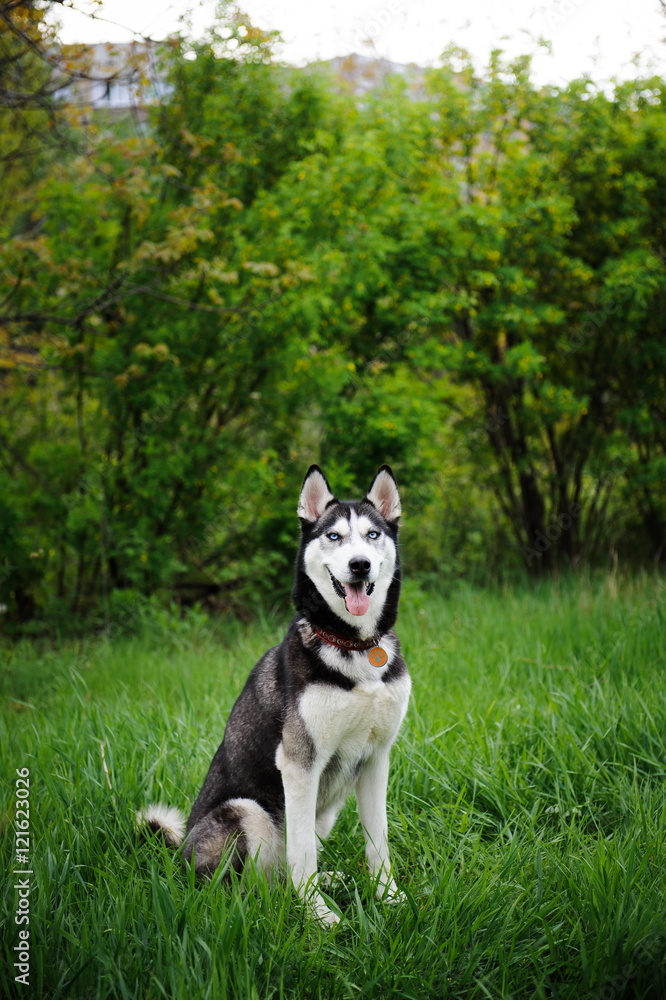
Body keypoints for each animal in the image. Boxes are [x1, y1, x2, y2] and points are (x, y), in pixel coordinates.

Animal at [139, 464, 410, 924]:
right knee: (253, 886)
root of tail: (178, 858)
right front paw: (318, 916)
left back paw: (330, 881)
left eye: (372, 534)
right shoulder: (300, 764)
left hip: (324, 812)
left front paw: (389, 898)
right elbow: (302, 854)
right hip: (246, 810)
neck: (354, 646)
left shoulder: (376, 758)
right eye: (333, 536)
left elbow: (379, 842)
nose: (359, 565)